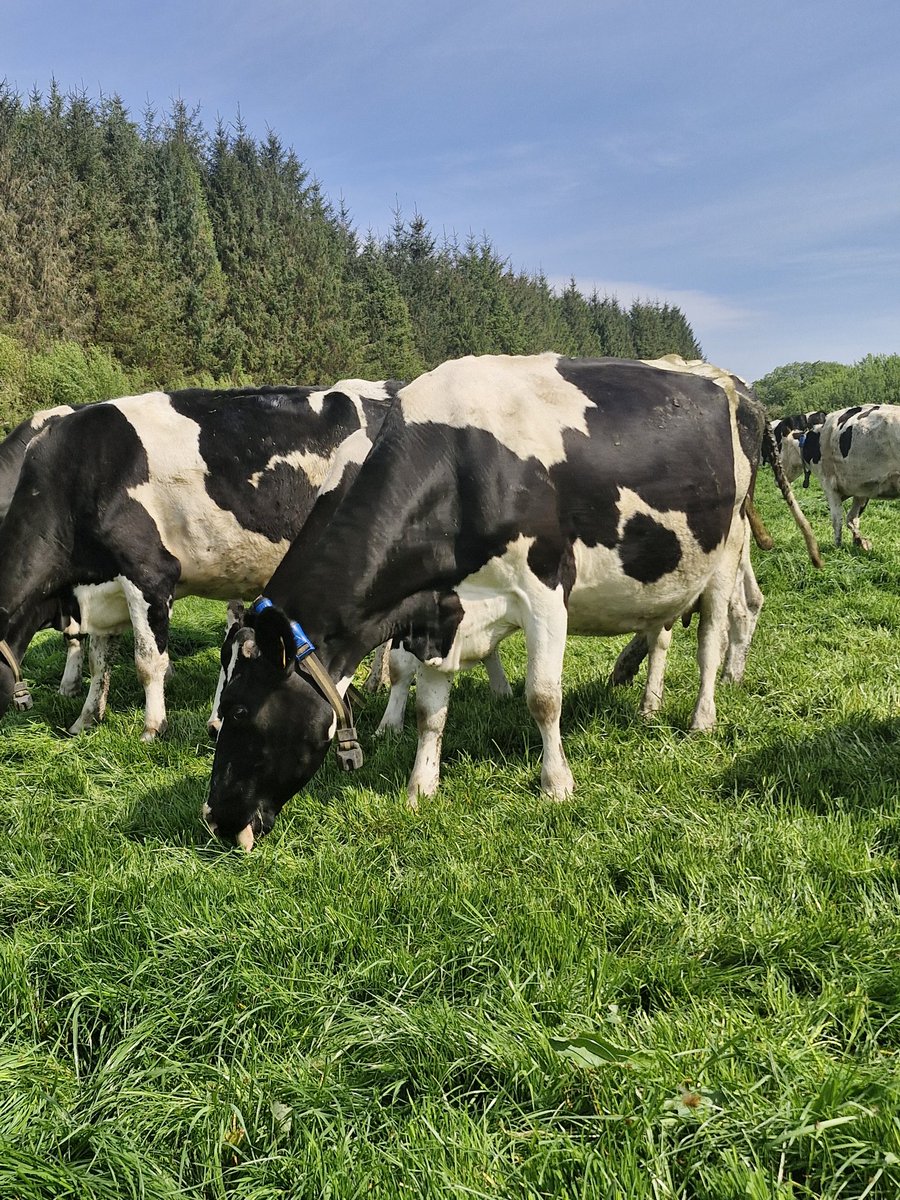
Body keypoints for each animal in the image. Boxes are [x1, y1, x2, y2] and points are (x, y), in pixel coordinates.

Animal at [0, 382, 406, 740]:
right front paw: (85, 719)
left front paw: (152, 728)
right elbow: (100, 659)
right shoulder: (101, 586)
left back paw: (379, 684)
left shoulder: (149, 574)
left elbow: (147, 661)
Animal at [205, 352, 820, 849]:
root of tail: (733, 385)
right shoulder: (440, 610)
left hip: (725, 553)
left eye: (237, 709)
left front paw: (556, 783)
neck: (458, 468)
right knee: (661, 630)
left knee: (712, 637)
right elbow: (431, 709)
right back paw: (648, 703)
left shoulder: (545, 588)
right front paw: (421, 787)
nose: (214, 819)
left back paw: (701, 718)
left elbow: (543, 696)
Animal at [779, 404, 900, 550]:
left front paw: (837, 547)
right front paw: (860, 542)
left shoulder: (829, 484)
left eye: (780, 447)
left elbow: (837, 519)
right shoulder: (862, 487)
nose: (778, 478)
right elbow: (852, 518)